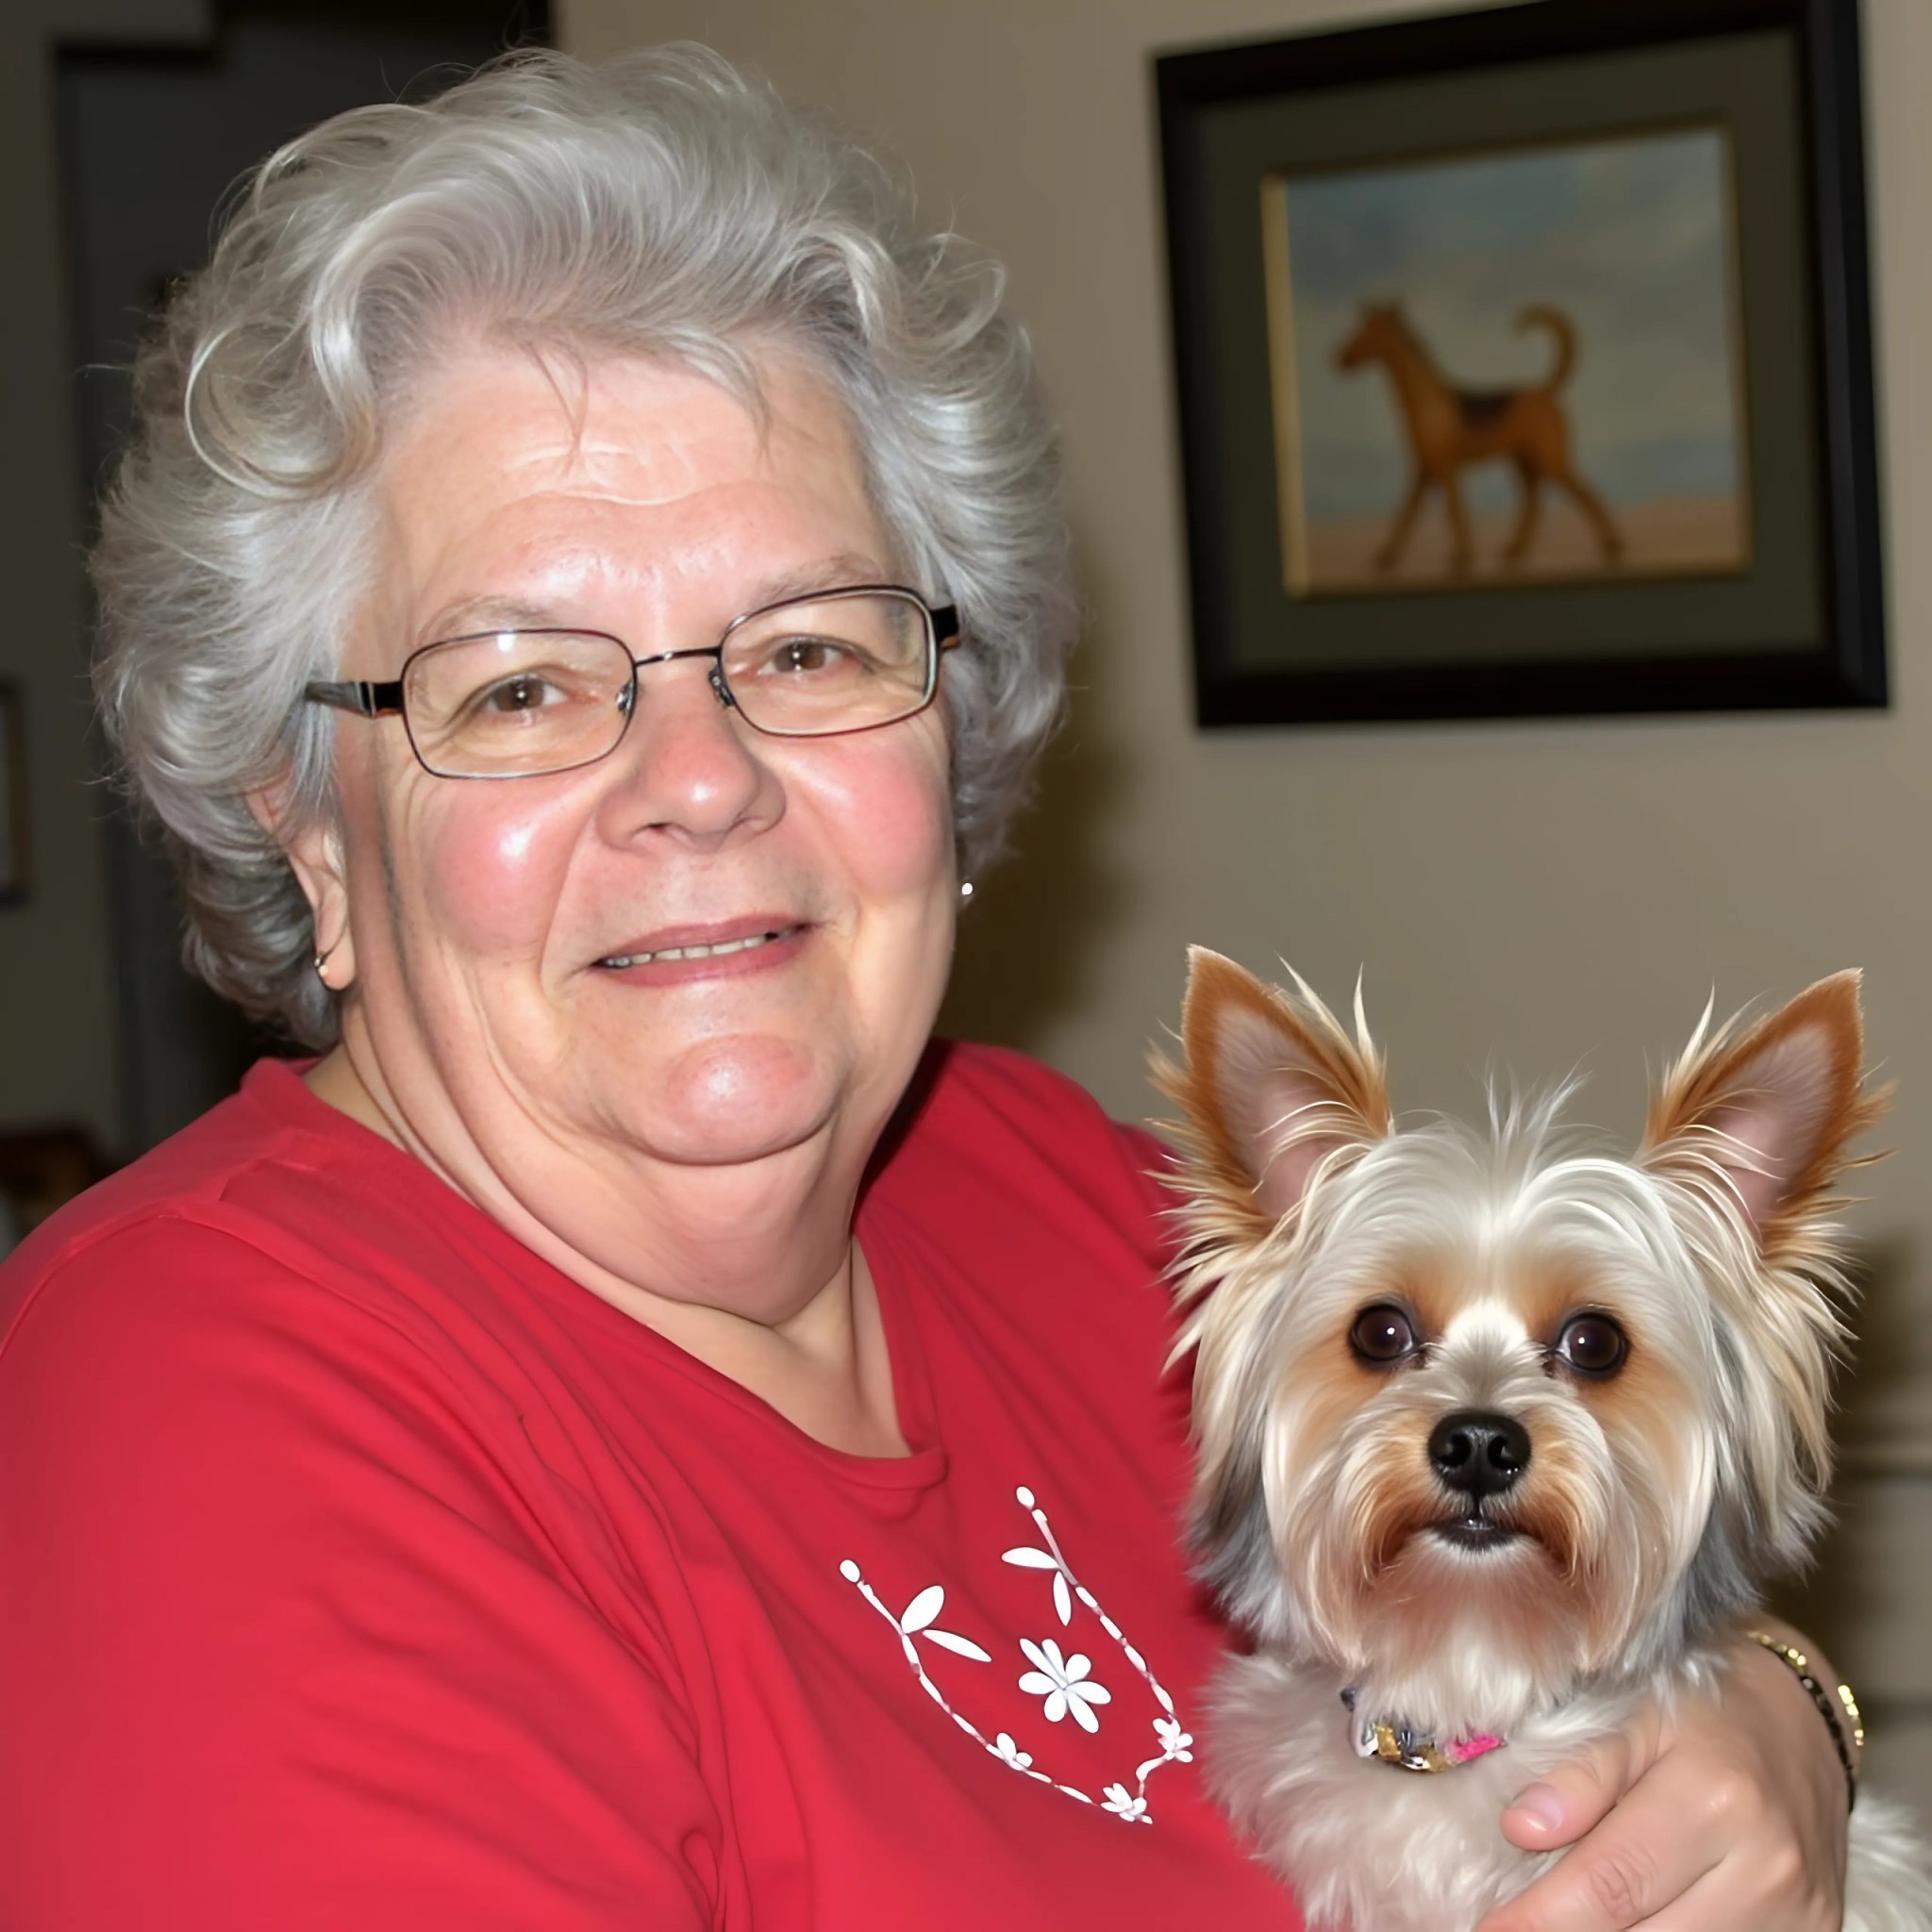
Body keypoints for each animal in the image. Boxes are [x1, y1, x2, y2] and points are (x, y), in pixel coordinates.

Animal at [1335, 302, 1624, 576]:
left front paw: (1462, 557)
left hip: (1550, 462)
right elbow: (1407, 513)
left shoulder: (1445, 469)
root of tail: (1544, 390)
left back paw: (1612, 545)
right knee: (1533, 504)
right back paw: (1515, 551)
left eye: (1366, 331)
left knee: (1586, 494)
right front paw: (1387, 557)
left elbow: (1453, 510)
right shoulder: (1423, 470)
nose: (1339, 358)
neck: (1426, 401)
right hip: (1523, 463)